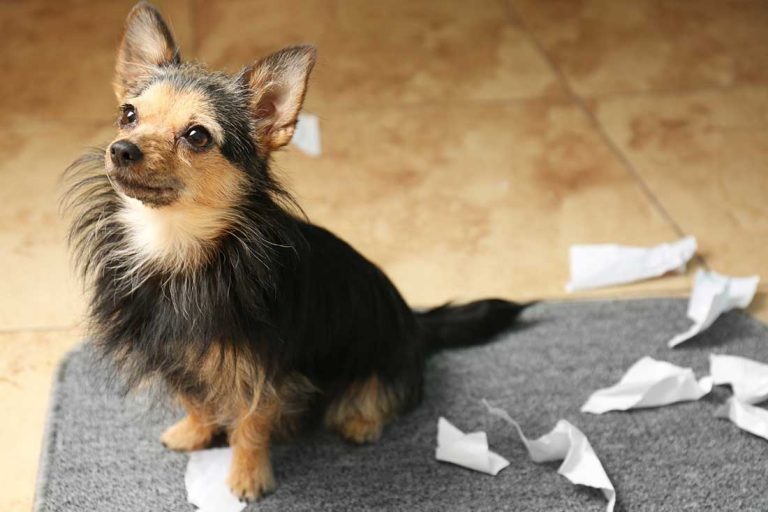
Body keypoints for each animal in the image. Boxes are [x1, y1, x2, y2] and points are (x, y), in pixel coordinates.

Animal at [61, 2, 528, 502]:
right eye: (128, 113)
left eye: (197, 136)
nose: (121, 148)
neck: (176, 249)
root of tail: (415, 323)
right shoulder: (173, 356)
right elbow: (196, 400)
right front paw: (194, 433)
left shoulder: (262, 373)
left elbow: (249, 426)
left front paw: (247, 477)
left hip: (382, 359)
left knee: (385, 392)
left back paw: (362, 420)